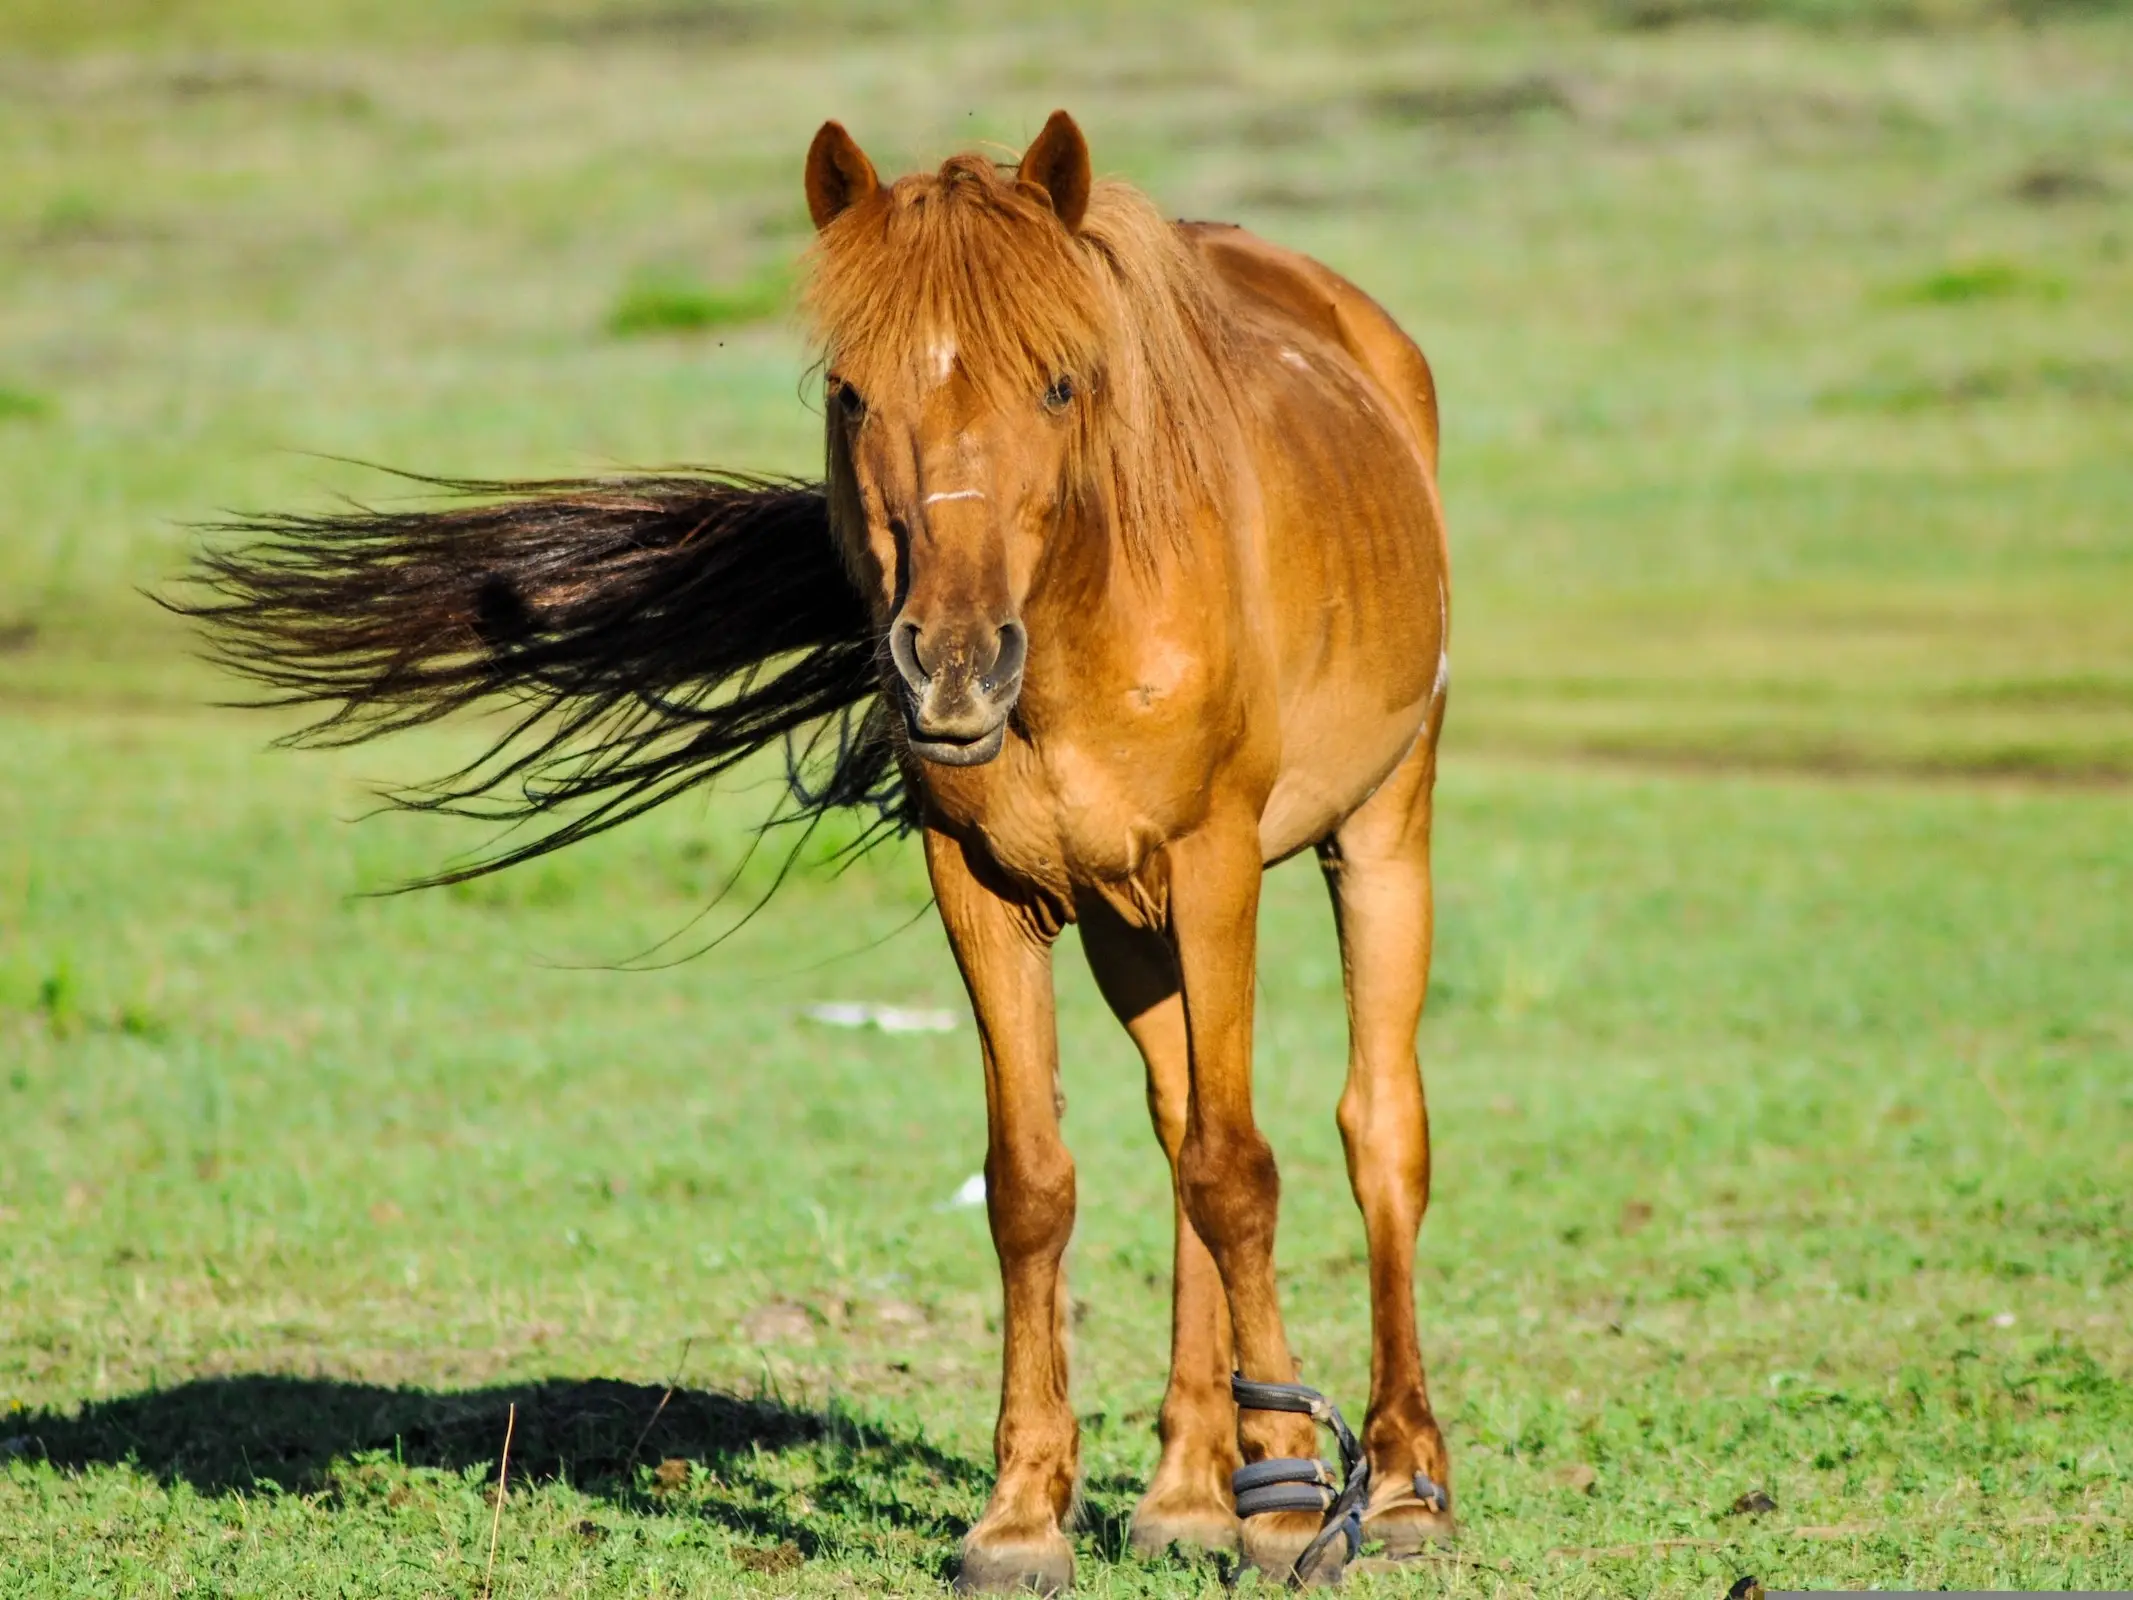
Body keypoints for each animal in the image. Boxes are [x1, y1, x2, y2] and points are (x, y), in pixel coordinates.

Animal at [179, 113, 1450, 1595]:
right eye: (850, 393)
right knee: (1179, 1118)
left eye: (1062, 383)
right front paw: (1023, 1516)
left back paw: (1398, 1484)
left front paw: (1293, 1503)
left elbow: (1242, 1173)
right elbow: (1038, 1184)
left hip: (1377, 832)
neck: (1086, 622)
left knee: (1376, 1131)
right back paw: (1189, 1488)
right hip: (1129, 927)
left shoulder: (1213, 866)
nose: (951, 666)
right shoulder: (986, 885)